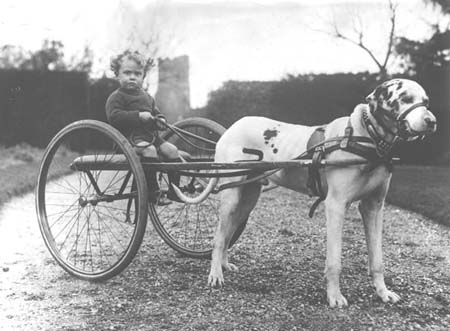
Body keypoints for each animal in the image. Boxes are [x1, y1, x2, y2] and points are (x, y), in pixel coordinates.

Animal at [171, 79, 436, 308]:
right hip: (231, 196)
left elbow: (377, 260)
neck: (366, 136)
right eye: (405, 98)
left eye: (426, 101)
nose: (432, 121)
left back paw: (224, 265)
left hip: (247, 199)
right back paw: (215, 273)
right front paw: (334, 296)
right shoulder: (336, 206)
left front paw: (383, 292)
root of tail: (232, 127)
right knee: (218, 236)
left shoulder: (374, 208)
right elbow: (334, 261)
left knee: (228, 233)